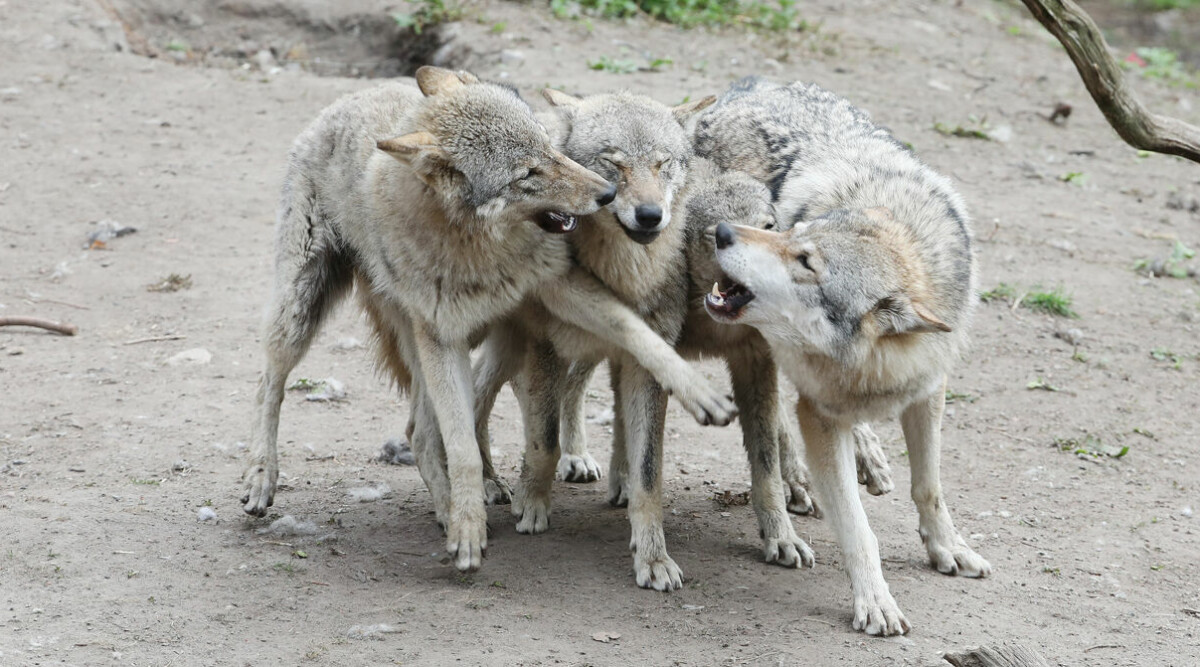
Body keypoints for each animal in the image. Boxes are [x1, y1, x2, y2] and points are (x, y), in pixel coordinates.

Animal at [241, 66, 739, 573]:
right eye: (527, 174)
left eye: (550, 149)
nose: (606, 195)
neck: (481, 250)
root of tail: (356, 95)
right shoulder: (444, 336)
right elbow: (464, 445)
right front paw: (469, 530)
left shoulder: (557, 288)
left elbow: (635, 336)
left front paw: (699, 394)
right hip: (305, 311)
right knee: (271, 383)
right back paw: (265, 476)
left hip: (494, 341)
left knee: (431, 426)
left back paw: (476, 493)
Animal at [700, 77, 988, 633]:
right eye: (788, 230)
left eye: (805, 260)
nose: (722, 231)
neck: (868, 367)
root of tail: (747, 85)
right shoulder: (819, 415)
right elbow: (858, 528)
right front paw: (874, 601)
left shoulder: (928, 391)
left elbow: (930, 486)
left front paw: (948, 548)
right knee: (774, 421)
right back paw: (797, 479)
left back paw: (867, 458)